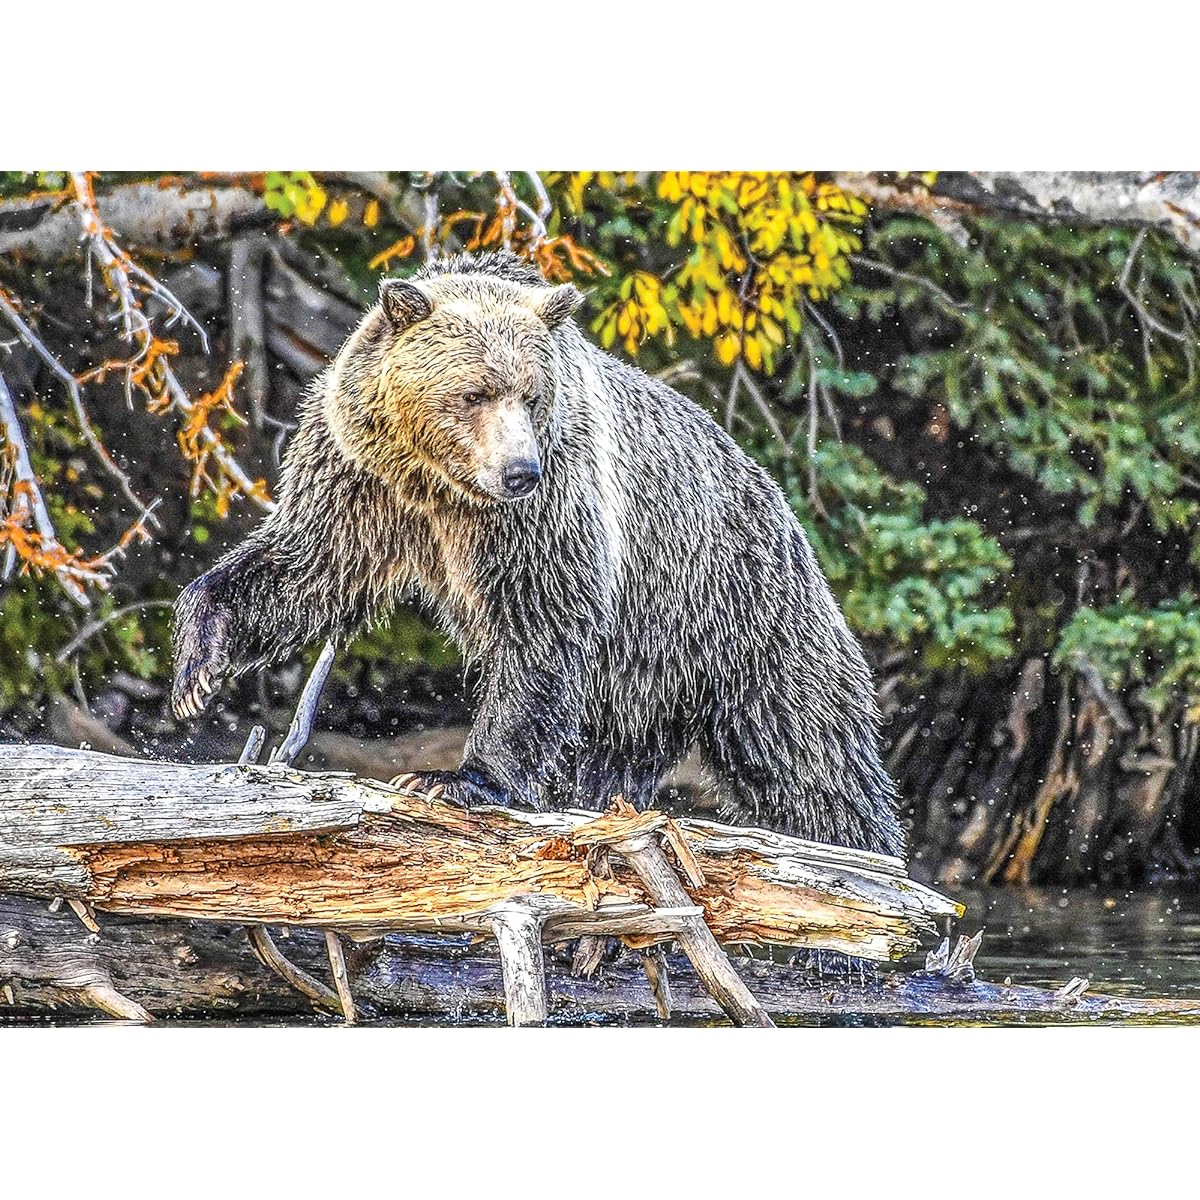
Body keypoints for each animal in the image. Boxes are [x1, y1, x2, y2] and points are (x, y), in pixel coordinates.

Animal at [173, 250, 904, 858]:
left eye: (530, 392)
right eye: (473, 392)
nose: (521, 471)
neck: (440, 488)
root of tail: (780, 499)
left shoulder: (547, 517)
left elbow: (541, 629)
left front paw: (458, 778)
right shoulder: (361, 480)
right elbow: (307, 564)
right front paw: (197, 668)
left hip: (736, 613)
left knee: (807, 749)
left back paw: (871, 860)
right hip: (647, 672)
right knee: (619, 758)